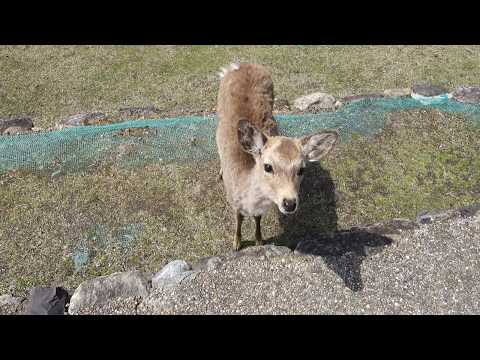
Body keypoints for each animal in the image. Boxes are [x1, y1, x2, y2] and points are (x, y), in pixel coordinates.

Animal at [216, 62, 340, 250]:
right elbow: (238, 219)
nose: (289, 203)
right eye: (267, 166)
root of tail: (240, 64)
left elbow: (257, 219)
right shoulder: (233, 199)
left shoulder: (259, 209)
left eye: (302, 169)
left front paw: (259, 241)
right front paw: (236, 243)